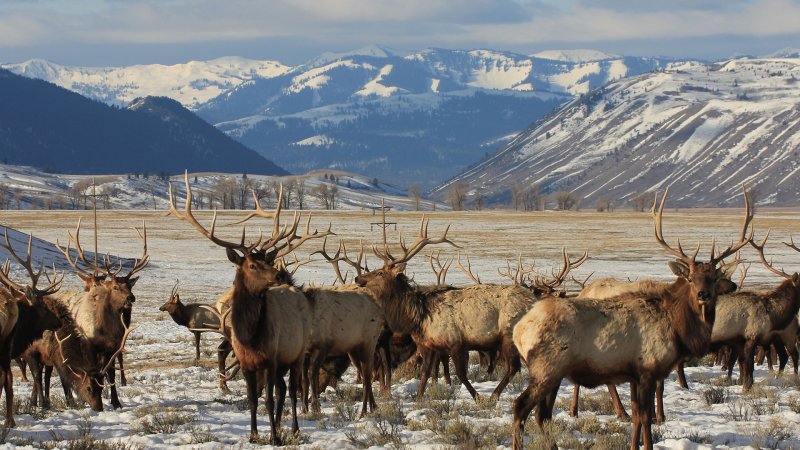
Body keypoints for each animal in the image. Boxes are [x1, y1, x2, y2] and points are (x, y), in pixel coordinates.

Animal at [510, 189, 752, 450]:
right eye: (691, 278)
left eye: (714, 278)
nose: (703, 294)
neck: (678, 329)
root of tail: (518, 330)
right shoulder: (647, 370)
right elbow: (646, 417)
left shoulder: (634, 375)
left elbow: (636, 416)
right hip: (546, 367)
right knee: (520, 408)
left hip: (553, 372)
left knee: (541, 414)